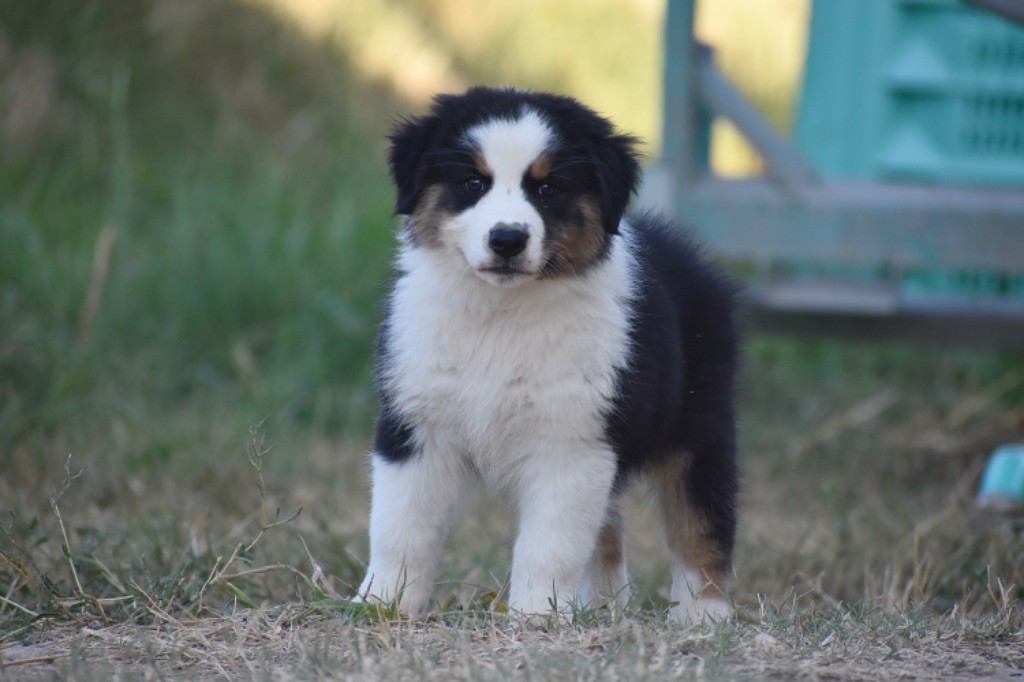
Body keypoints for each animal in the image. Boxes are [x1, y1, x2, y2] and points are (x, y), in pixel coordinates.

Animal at [358, 84, 737, 622]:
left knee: (701, 523)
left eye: (548, 189)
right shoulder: (416, 425)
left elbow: (550, 544)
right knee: (609, 531)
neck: (501, 314)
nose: (507, 239)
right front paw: (380, 606)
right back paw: (602, 606)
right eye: (473, 182)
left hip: (700, 426)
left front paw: (536, 616)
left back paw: (702, 613)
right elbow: (400, 530)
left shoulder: (572, 442)